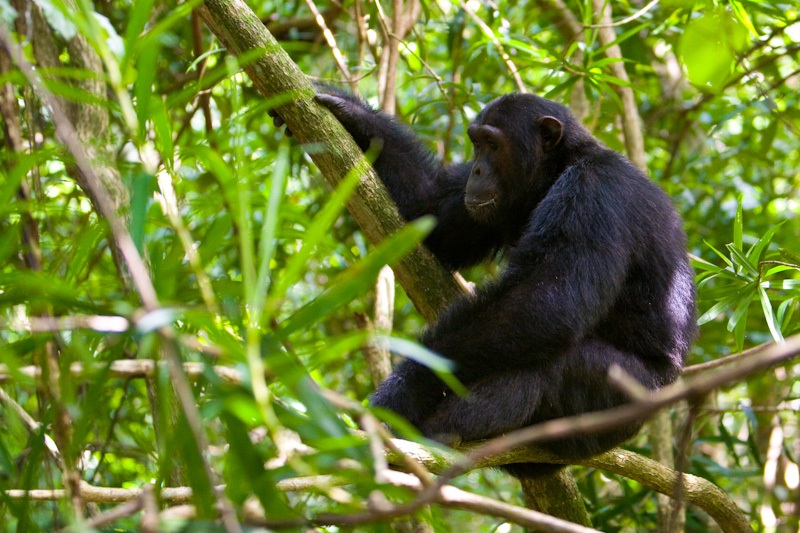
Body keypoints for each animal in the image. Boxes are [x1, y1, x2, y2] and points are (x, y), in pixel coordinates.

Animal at [274, 87, 692, 474]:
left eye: (492, 144)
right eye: (475, 143)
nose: (476, 169)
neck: (556, 170)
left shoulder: (593, 193)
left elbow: (546, 301)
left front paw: (402, 391)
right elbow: (432, 215)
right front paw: (352, 114)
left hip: (624, 401)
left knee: (549, 362)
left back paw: (438, 431)